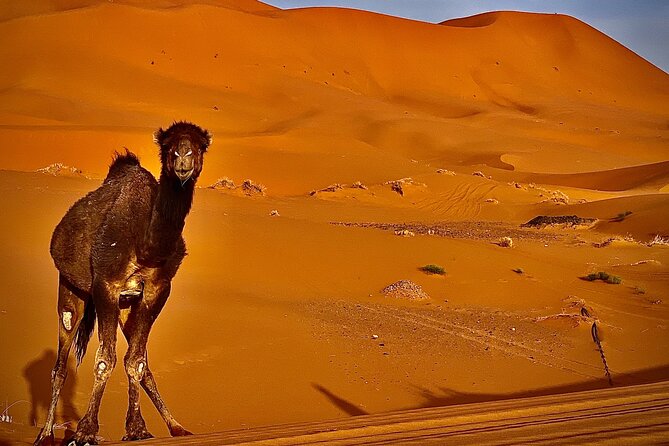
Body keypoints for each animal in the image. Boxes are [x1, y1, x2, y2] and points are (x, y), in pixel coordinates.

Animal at [34, 122, 211, 445]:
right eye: (167, 146)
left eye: (200, 145)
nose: (183, 159)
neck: (146, 246)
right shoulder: (106, 284)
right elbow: (105, 360)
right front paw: (86, 431)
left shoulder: (157, 290)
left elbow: (136, 362)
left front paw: (138, 429)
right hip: (71, 289)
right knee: (60, 365)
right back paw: (46, 434)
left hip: (127, 307)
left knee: (141, 362)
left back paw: (178, 428)